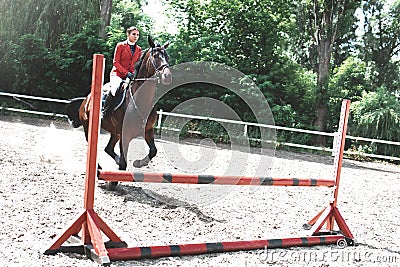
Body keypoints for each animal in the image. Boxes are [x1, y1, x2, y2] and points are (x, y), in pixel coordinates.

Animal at [66, 36, 172, 178]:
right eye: (155, 56)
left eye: (167, 56)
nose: (167, 77)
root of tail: (86, 99)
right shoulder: (124, 134)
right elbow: (123, 162)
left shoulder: (148, 130)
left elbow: (153, 150)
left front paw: (138, 163)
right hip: (89, 128)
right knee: (93, 148)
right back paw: (99, 170)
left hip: (115, 133)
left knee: (108, 148)